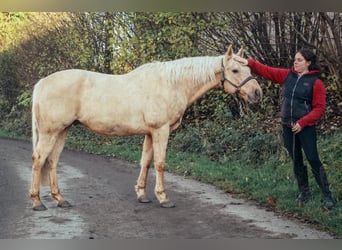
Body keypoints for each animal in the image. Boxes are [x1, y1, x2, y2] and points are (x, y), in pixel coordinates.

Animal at [30, 44, 264, 209]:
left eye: (247, 68)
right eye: (235, 70)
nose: (256, 93)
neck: (171, 84)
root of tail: (42, 83)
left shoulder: (151, 133)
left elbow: (146, 162)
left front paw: (142, 195)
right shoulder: (161, 130)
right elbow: (160, 163)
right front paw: (164, 198)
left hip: (62, 130)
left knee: (52, 161)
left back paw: (60, 199)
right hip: (50, 132)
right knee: (39, 160)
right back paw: (37, 202)